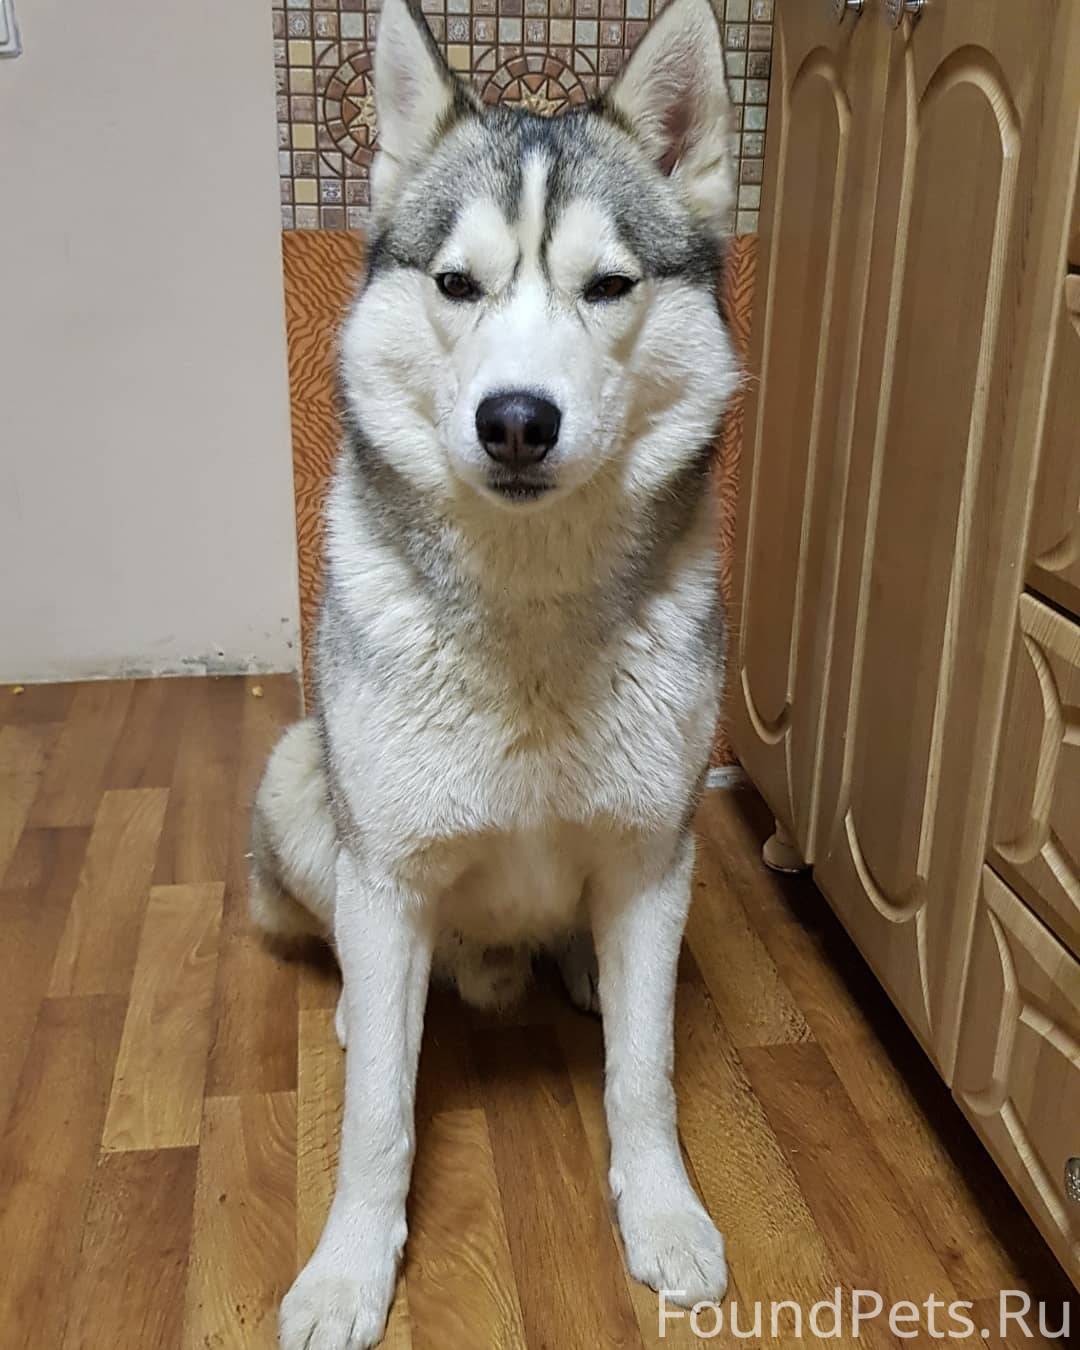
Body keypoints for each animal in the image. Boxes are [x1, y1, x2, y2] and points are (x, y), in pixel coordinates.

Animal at [251, 0, 740, 1342]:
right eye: (456, 285)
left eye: (609, 286)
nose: (517, 420)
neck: (528, 605)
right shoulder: (387, 863)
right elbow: (376, 1118)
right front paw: (347, 1271)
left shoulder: (652, 855)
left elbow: (645, 1076)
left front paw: (664, 1213)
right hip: (301, 779)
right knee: (360, 953)